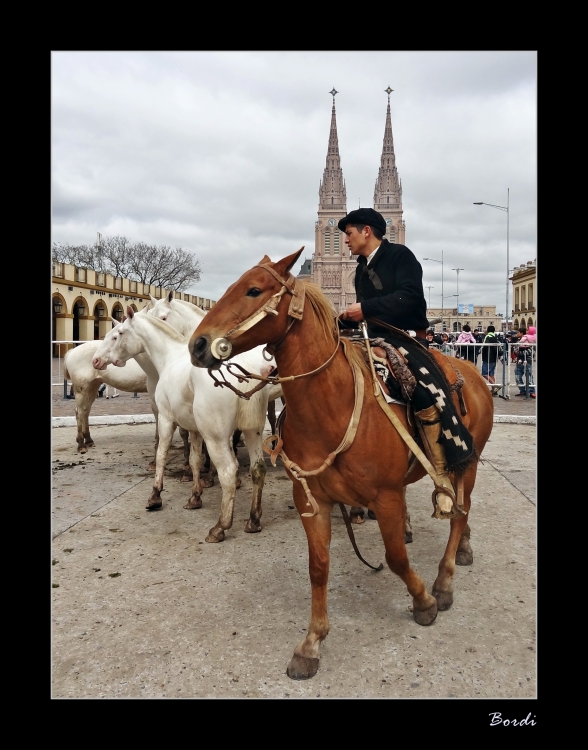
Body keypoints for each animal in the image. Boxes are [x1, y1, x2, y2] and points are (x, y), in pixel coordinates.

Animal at [105, 306, 276, 548]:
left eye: (118, 334)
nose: (101, 360)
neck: (169, 357)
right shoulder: (195, 430)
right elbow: (195, 461)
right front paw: (195, 497)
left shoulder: (166, 419)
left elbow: (161, 454)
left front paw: (155, 496)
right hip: (253, 431)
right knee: (257, 469)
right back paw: (253, 520)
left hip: (216, 438)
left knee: (228, 472)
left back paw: (220, 527)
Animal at [188, 251, 492, 680]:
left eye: (253, 290)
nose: (197, 344)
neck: (332, 405)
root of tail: (474, 375)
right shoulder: (312, 499)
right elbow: (318, 567)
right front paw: (311, 643)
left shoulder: (386, 496)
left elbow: (396, 558)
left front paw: (424, 601)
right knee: (461, 512)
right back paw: (462, 550)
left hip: (469, 461)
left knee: (459, 513)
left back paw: (445, 580)